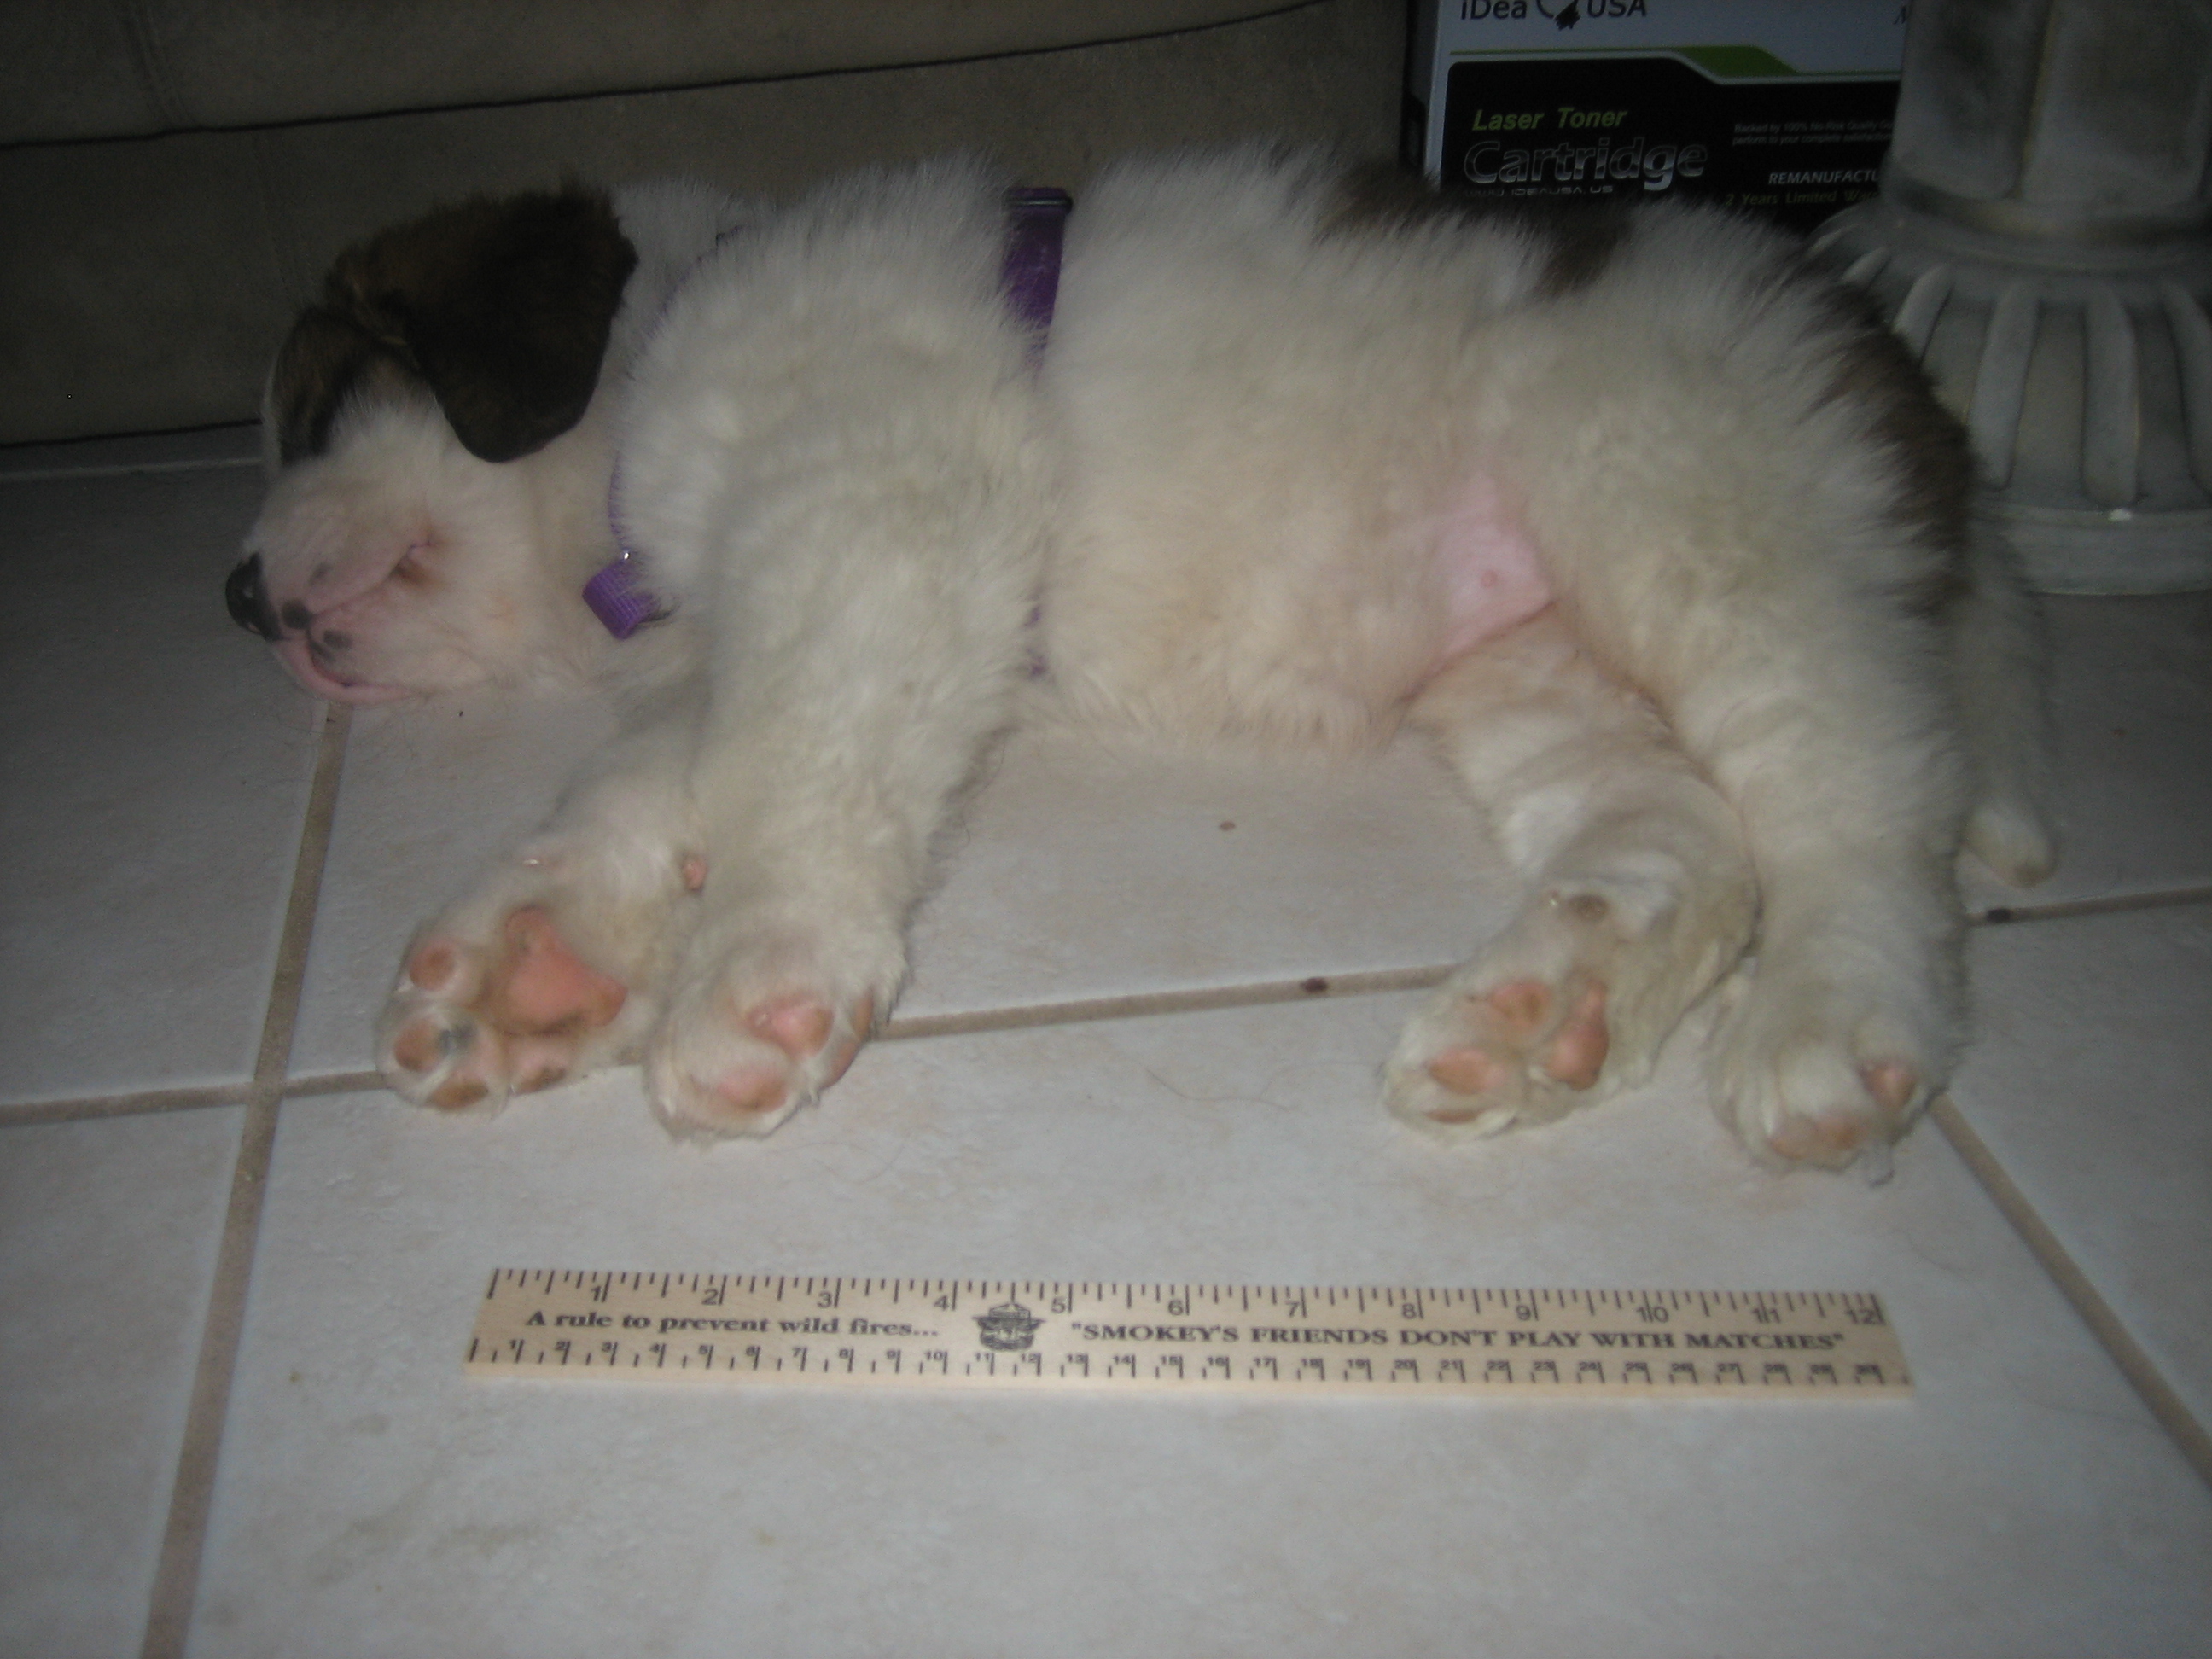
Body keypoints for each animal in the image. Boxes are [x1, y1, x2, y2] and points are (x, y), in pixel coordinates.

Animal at [227, 148, 2056, 1174]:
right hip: (1539, 661)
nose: (237, 596)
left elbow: (790, 750)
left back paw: (1832, 1020)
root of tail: (1887, 355)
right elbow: (644, 774)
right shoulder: (731, 625)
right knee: (1693, 837)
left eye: (311, 407)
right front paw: (530, 959)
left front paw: (756, 971)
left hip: (1685, 498)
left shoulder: (868, 503)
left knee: (1857, 798)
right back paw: (1552, 1011)